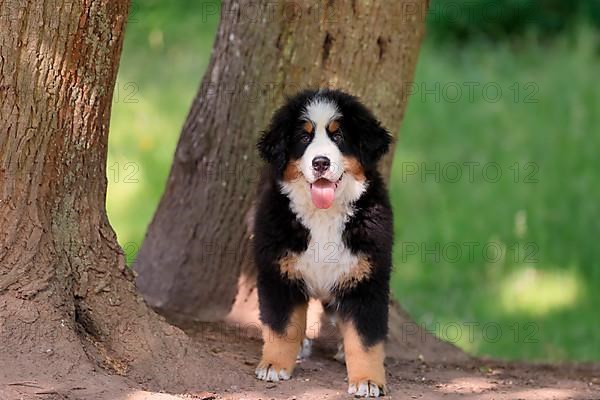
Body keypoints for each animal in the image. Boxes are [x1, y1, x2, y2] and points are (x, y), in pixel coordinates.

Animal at [253, 88, 394, 396]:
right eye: (304, 137)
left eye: (338, 135)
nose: (320, 163)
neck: (323, 216)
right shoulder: (278, 271)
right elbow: (282, 327)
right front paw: (274, 365)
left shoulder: (366, 277)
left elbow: (365, 340)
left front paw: (367, 380)